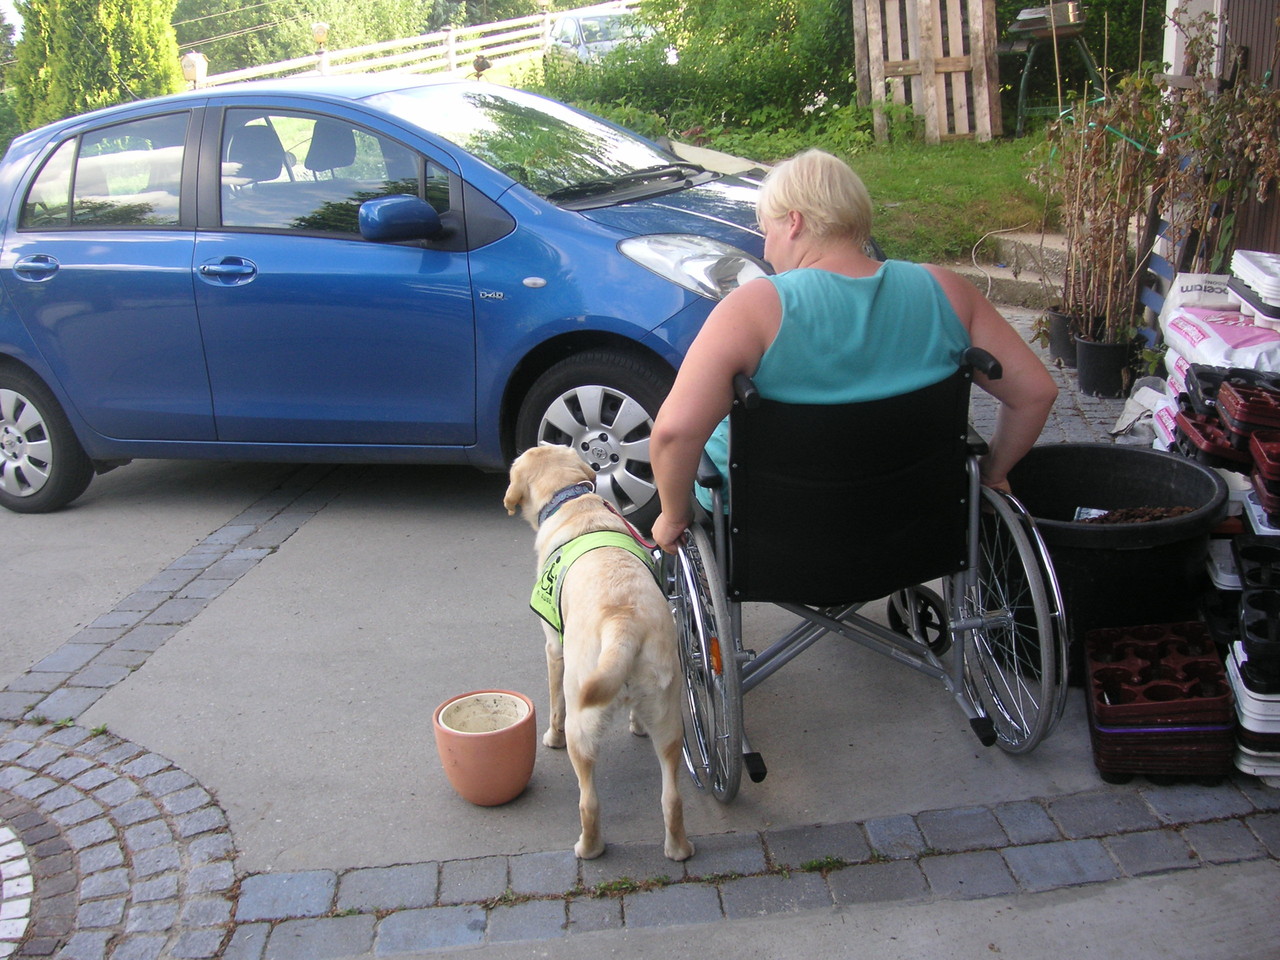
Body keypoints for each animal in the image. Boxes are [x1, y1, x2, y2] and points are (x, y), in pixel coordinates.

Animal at [504, 448, 696, 870]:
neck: (573, 500)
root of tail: (622, 621)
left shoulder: (554, 648)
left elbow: (554, 705)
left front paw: (551, 738)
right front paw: (635, 726)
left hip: (583, 723)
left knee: (588, 801)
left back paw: (590, 848)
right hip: (669, 719)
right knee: (672, 797)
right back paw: (678, 849)